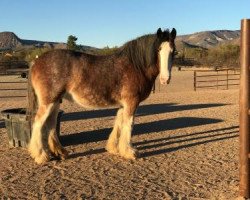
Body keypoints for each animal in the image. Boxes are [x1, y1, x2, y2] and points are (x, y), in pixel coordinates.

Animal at [28, 27, 177, 163]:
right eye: (158, 50)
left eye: (173, 51)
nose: (165, 79)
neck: (136, 66)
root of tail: (36, 61)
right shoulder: (131, 102)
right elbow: (129, 124)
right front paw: (129, 152)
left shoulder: (123, 104)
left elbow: (119, 123)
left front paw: (114, 148)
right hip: (49, 102)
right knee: (38, 123)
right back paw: (40, 155)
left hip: (55, 101)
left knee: (51, 123)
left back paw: (60, 152)